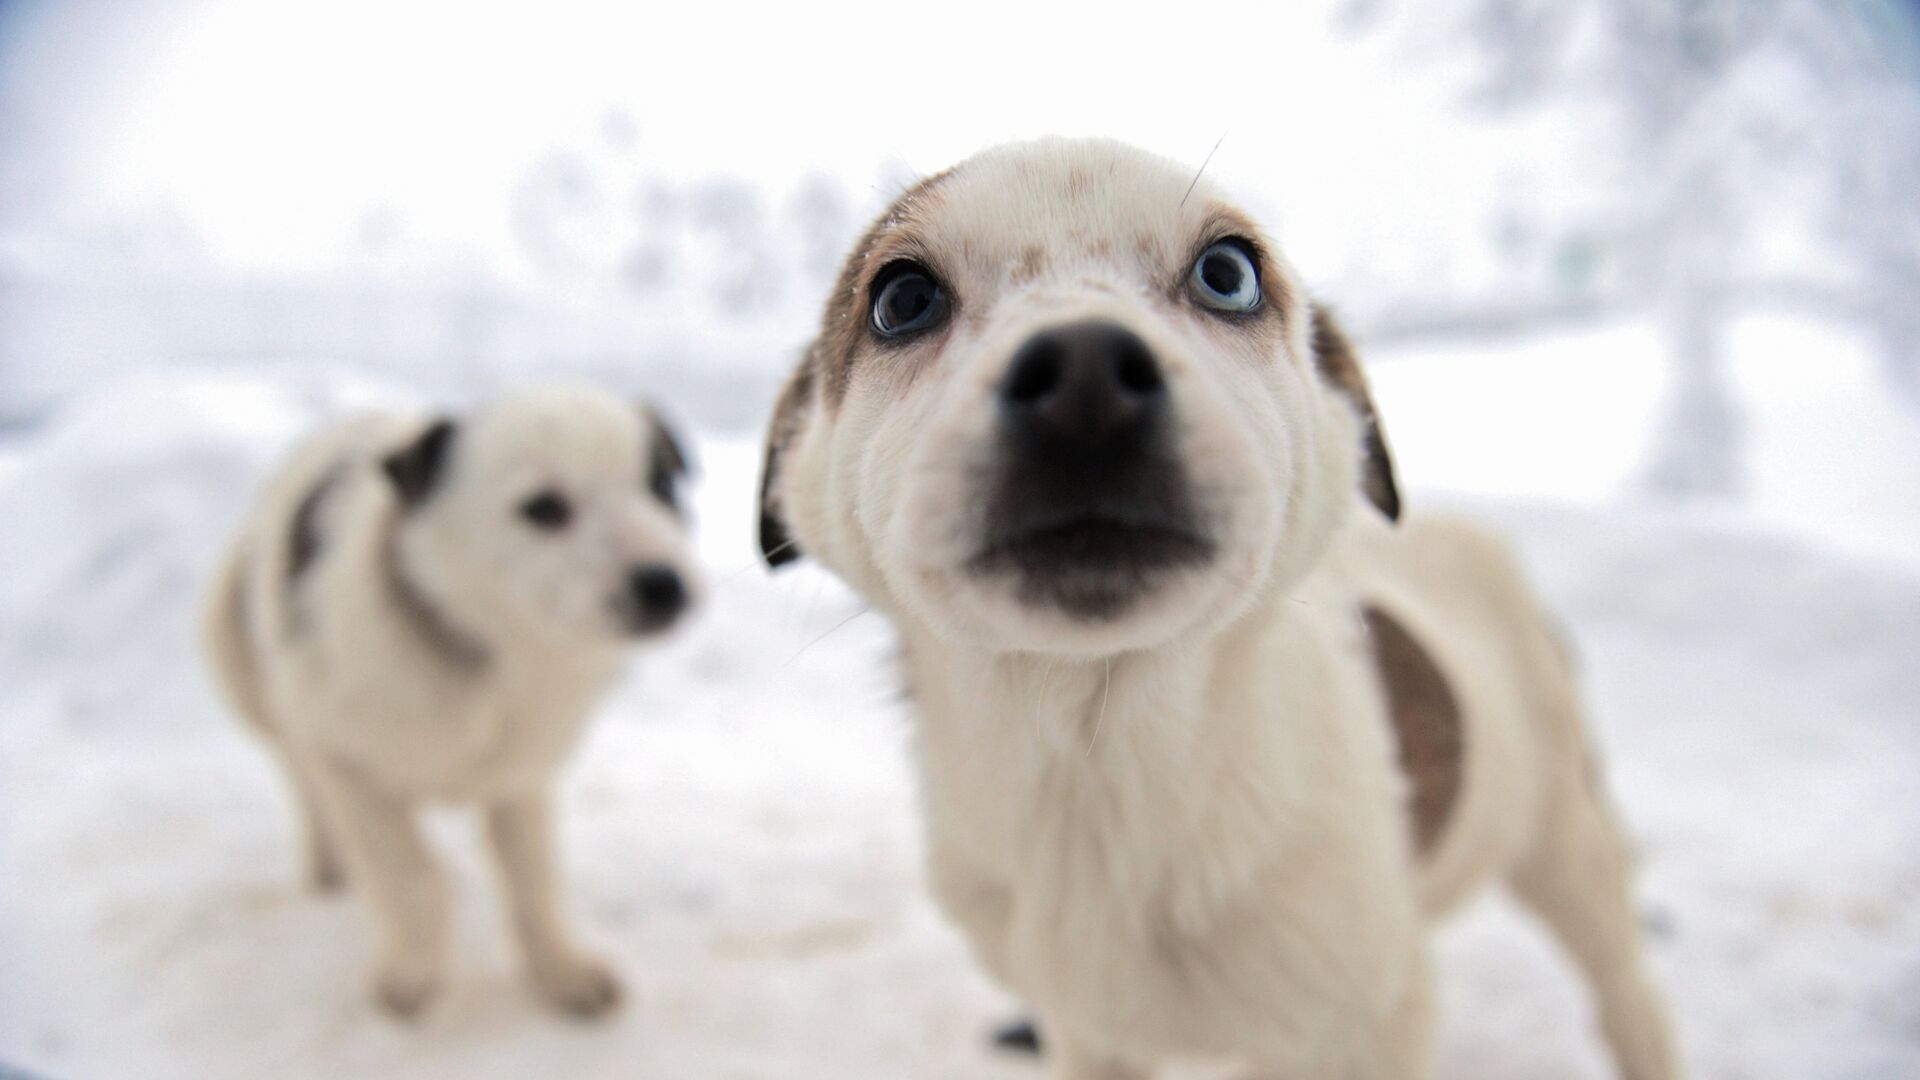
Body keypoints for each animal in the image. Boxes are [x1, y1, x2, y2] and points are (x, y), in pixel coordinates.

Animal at [204, 382, 698, 1014]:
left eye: (659, 485)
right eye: (544, 508)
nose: (664, 584)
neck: (484, 647)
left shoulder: (520, 777)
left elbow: (534, 878)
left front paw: (560, 969)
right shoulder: (350, 764)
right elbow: (410, 875)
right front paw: (412, 975)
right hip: (238, 655)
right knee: (299, 773)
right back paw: (329, 861)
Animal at [756, 141, 1689, 1076]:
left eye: (1227, 274)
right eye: (902, 299)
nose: (1086, 380)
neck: (1103, 753)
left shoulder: (1364, 1030)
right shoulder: (1090, 1040)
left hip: (1567, 844)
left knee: (1627, 999)